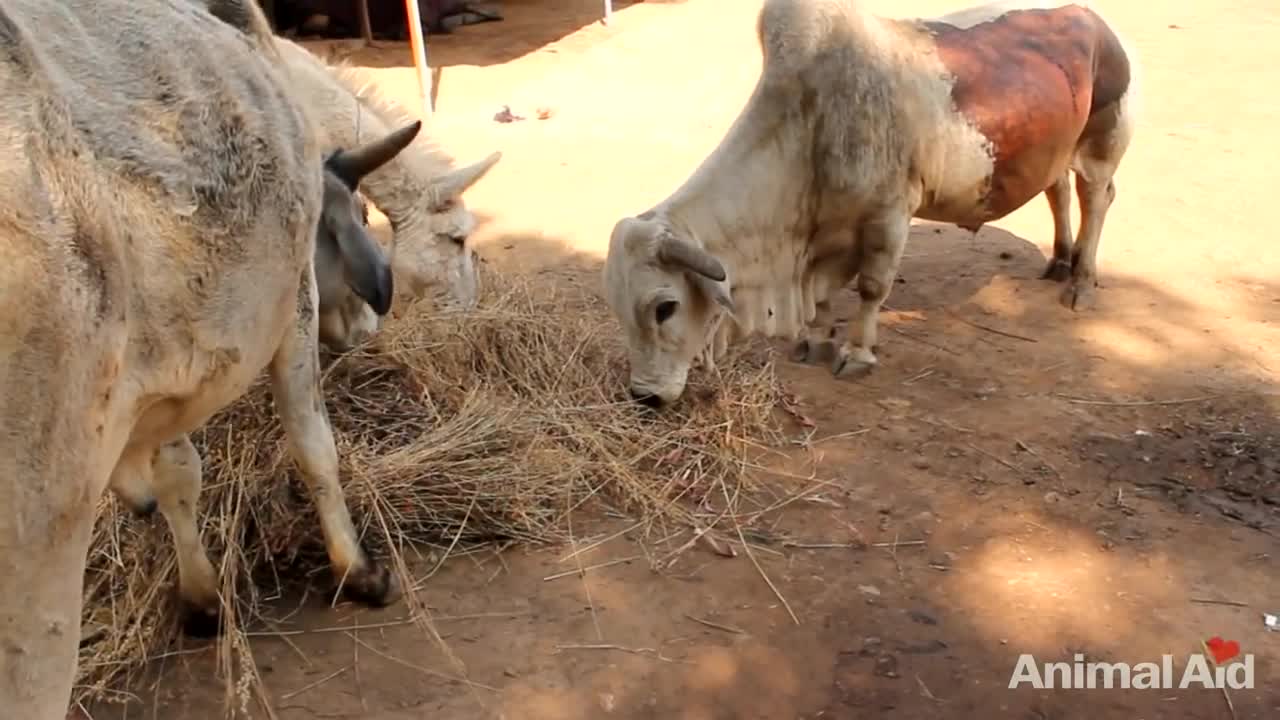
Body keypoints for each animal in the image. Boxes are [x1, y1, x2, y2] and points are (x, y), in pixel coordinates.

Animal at [0, 0, 416, 716]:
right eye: (359, 214)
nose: (368, 325)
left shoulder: (160, 378)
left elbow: (179, 475)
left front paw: (203, 602)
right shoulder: (295, 304)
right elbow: (315, 446)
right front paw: (359, 572)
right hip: (38, 544)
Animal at [602, 0, 1139, 407]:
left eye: (665, 307)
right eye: (618, 307)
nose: (645, 396)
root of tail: (1095, 21)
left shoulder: (890, 215)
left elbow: (871, 288)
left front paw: (857, 354)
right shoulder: (822, 239)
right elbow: (823, 300)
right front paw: (815, 341)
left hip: (1101, 143)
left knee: (1097, 198)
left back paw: (1081, 281)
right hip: (1055, 151)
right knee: (1059, 191)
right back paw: (1058, 261)